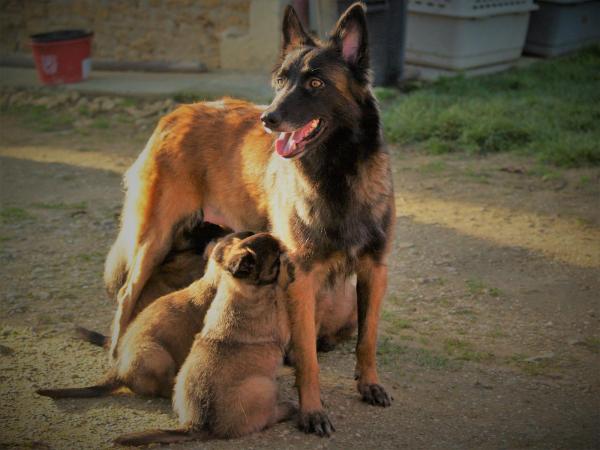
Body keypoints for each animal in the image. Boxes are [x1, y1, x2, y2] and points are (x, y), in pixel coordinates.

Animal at [103, 1, 394, 434]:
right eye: (280, 80)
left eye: (316, 83)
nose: (268, 118)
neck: (337, 175)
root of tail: (177, 112)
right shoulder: (302, 277)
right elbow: (308, 358)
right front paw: (312, 410)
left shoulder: (374, 269)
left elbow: (368, 338)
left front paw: (369, 384)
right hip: (154, 239)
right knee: (126, 294)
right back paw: (114, 354)